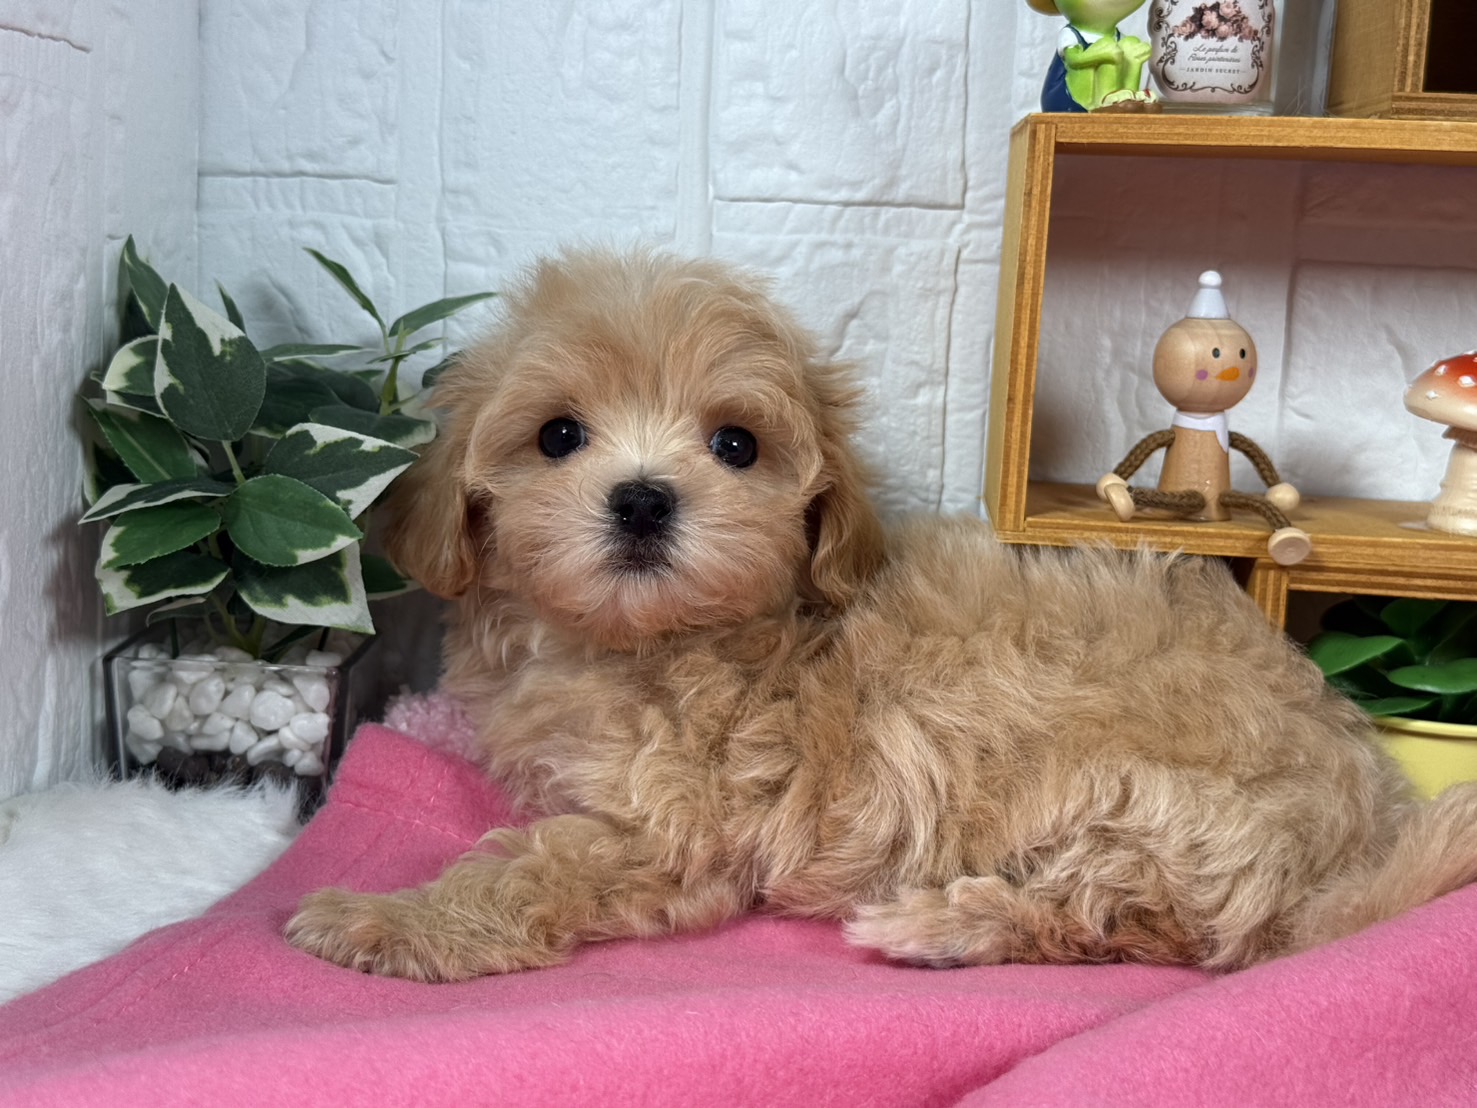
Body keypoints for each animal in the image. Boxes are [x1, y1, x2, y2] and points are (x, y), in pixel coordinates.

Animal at [286, 249, 1477, 981]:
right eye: (558, 436)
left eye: (735, 444)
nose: (642, 498)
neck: (645, 642)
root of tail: (1357, 831)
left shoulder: (672, 829)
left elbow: (529, 867)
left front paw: (383, 918)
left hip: (1133, 797)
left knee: (1125, 923)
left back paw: (940, 923)